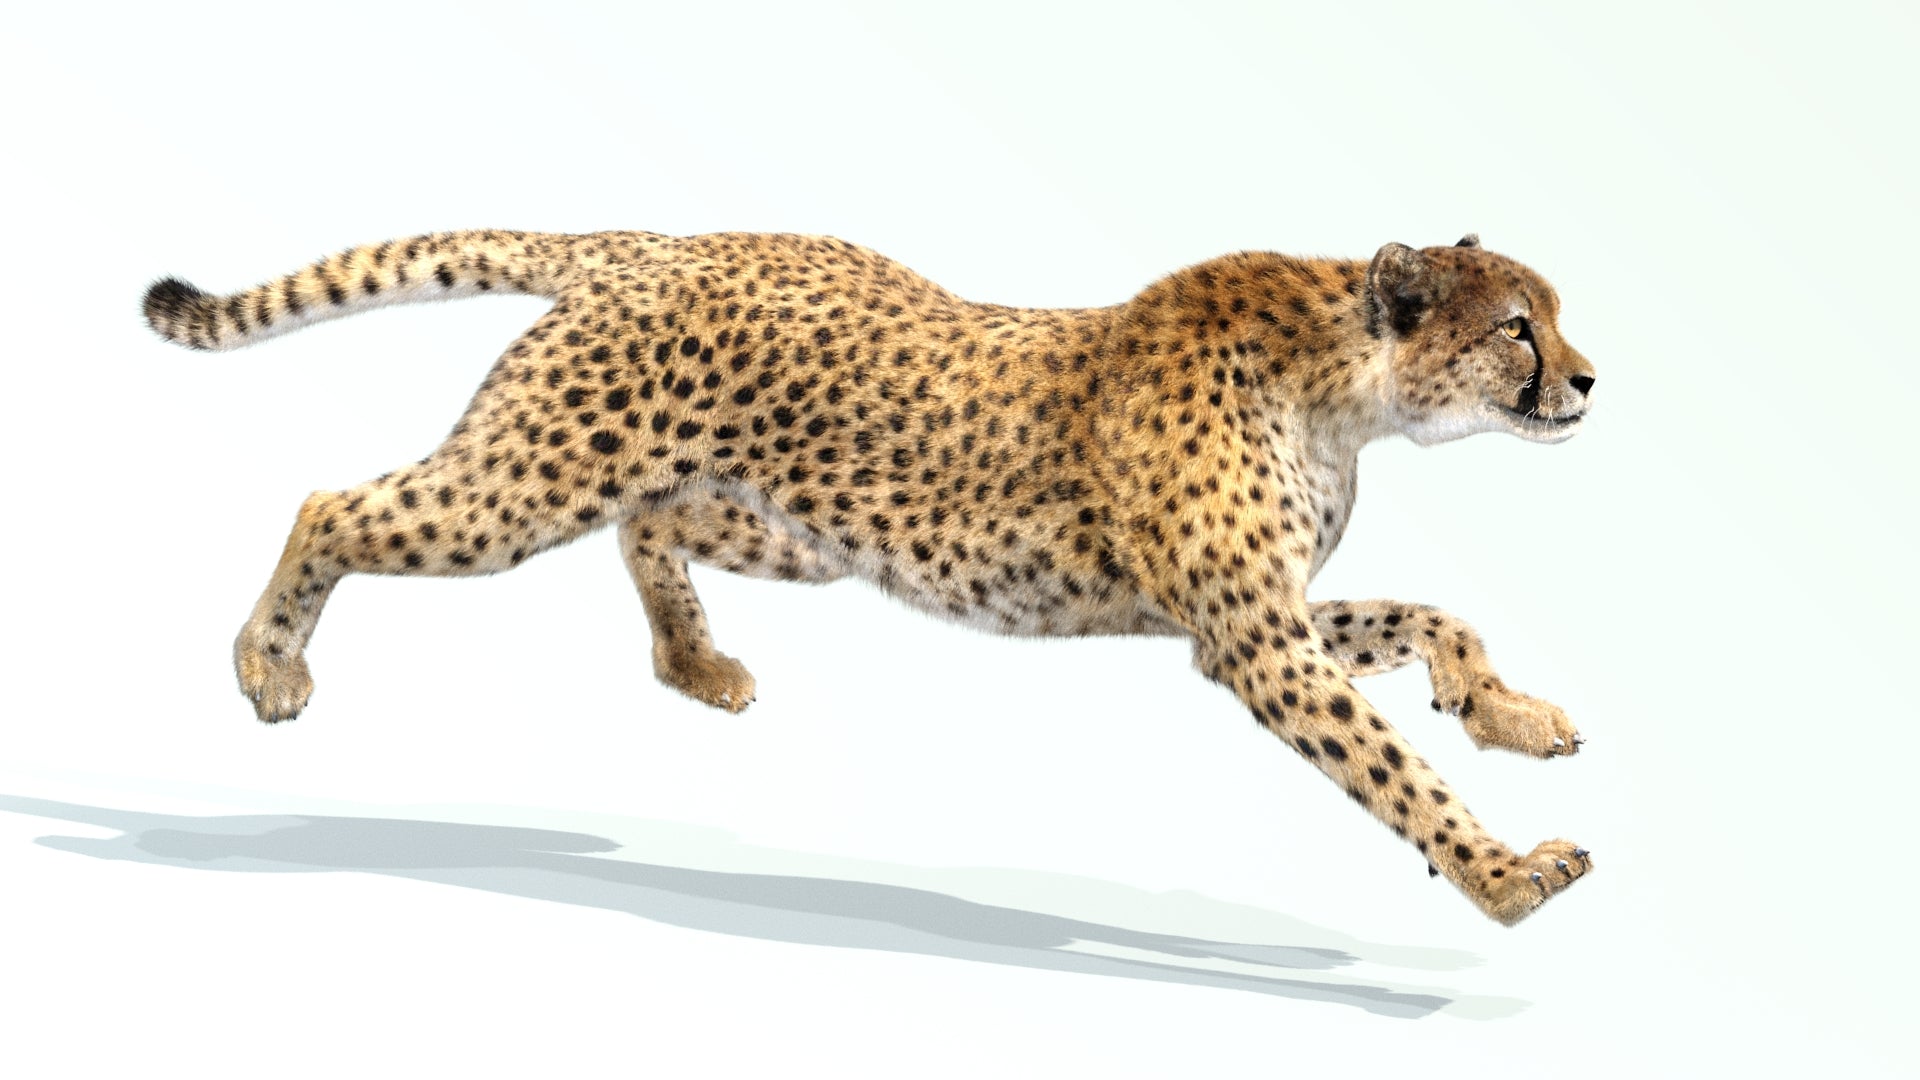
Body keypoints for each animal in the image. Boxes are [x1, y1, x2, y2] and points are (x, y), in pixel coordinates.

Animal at [142, 228, 1598, 924]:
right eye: (1518, 326)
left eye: (1554, 315)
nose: (1590, 380)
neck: (1347, 388)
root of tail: (654, 242)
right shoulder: (1253, 636)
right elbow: (1394, 770)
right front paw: (1498, 870)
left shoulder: (1256, 619)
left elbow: (1436, 620)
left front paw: (1514, 715)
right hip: (530, 483)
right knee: (334, 503)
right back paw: (268, 665)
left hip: (801, 529)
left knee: (648, 527)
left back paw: (695, 660)